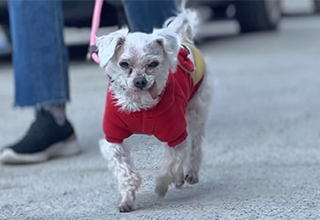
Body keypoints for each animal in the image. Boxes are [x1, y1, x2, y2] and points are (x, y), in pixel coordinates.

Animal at [96, 7, 211, 213]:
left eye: (153, 64)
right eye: (124, 64)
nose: (140, 81)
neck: (140, 106)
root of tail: (183, 40)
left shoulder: (174, 132)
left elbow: (170, 164)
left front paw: (161, 186)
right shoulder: (113, 138)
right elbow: (124, 169)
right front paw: (127, 197)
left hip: (196, 110)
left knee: (195, 144)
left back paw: (190, 172)